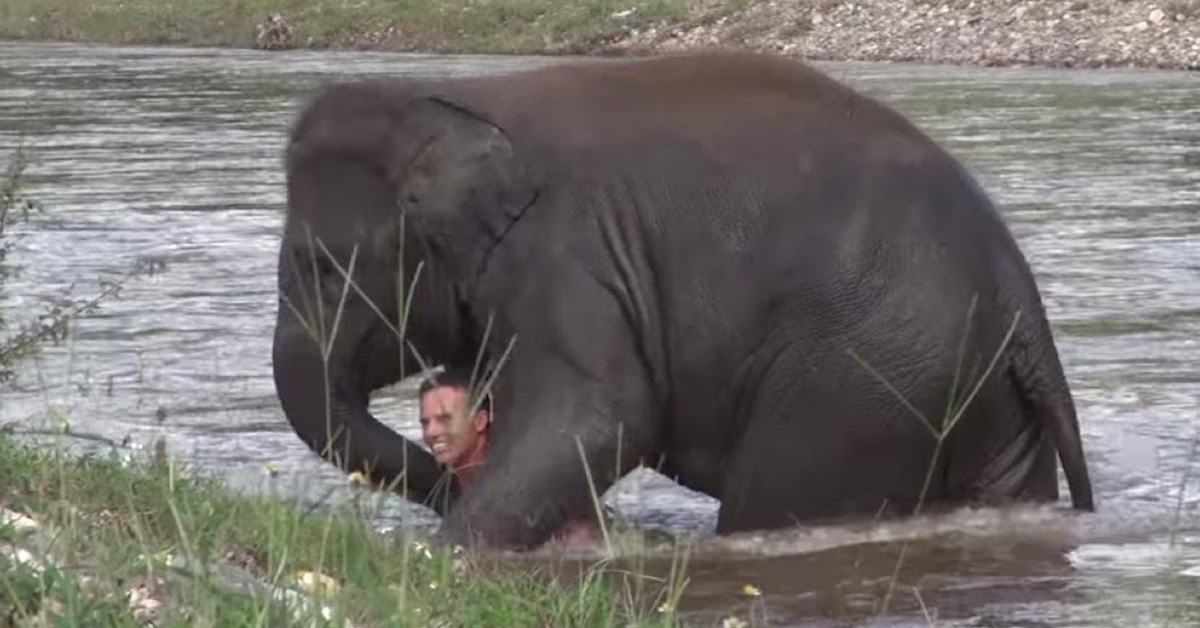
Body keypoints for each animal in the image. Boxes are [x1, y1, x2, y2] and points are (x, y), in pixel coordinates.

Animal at [271, 51, 1094, 551]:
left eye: (321, 267)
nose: (446, 466)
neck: (444, 101)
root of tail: (1018, 290)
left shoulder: (567, 259)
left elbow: (605, 418)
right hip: (977, 399)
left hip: (859, 382)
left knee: (774, 505)